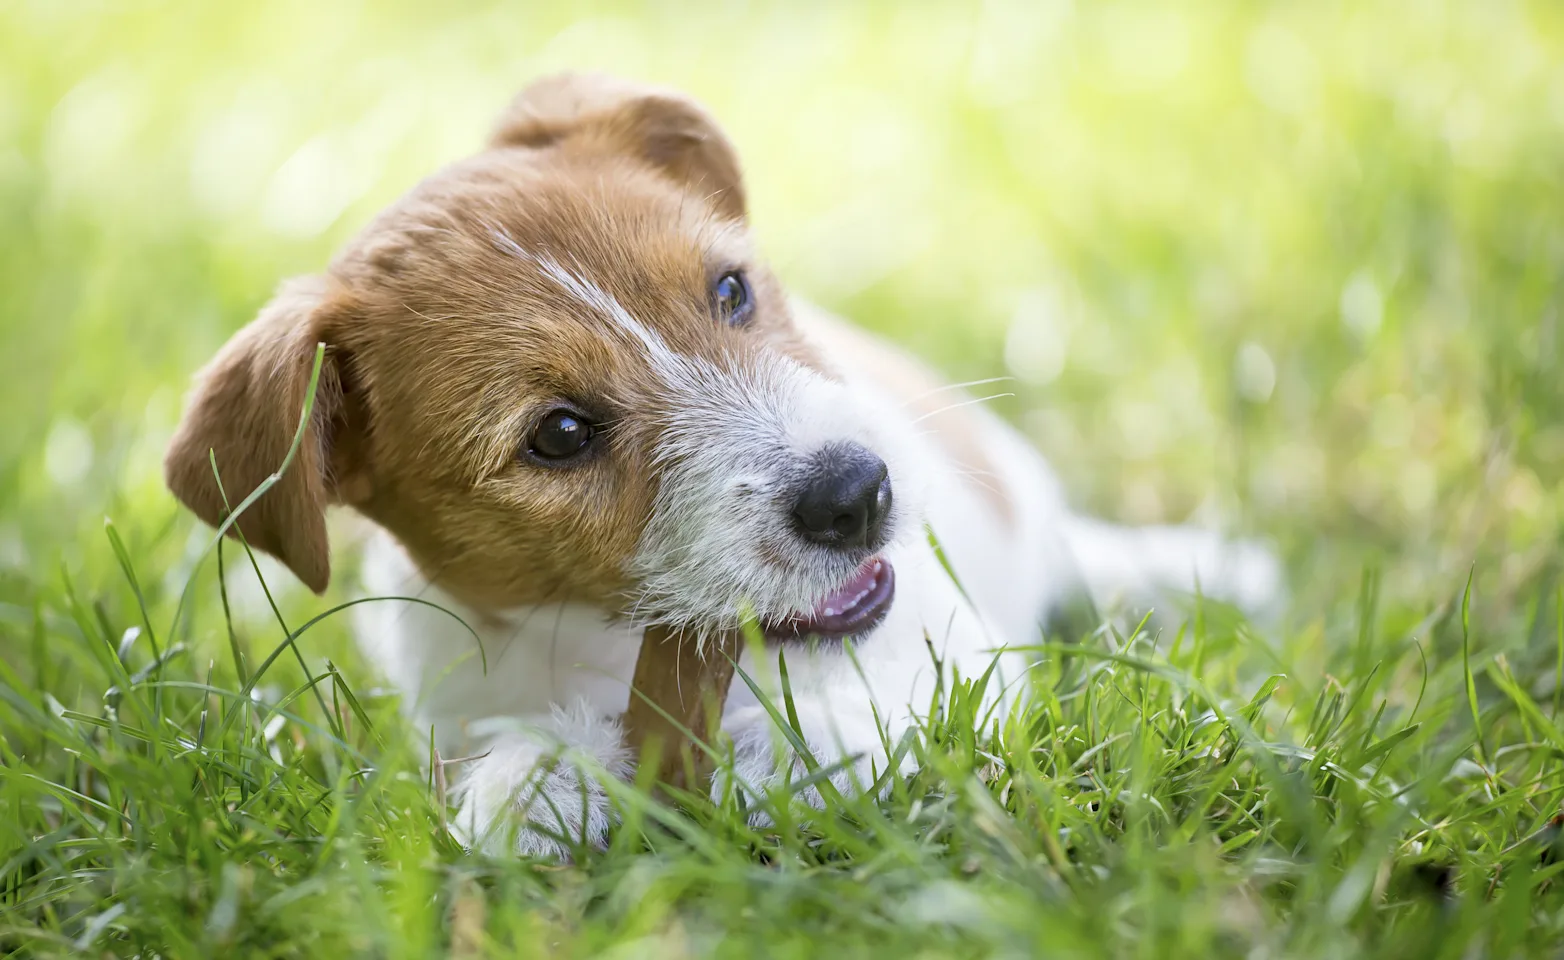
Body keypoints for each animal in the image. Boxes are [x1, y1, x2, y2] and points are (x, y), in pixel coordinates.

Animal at [165, 73, 1276, 856]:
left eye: (731, 291)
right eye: (558, 434)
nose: (856, 496)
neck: (609, 646)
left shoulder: (956, 652)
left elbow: (873, 719)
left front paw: (763, 748)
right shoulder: (454, 708)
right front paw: (540, 777)